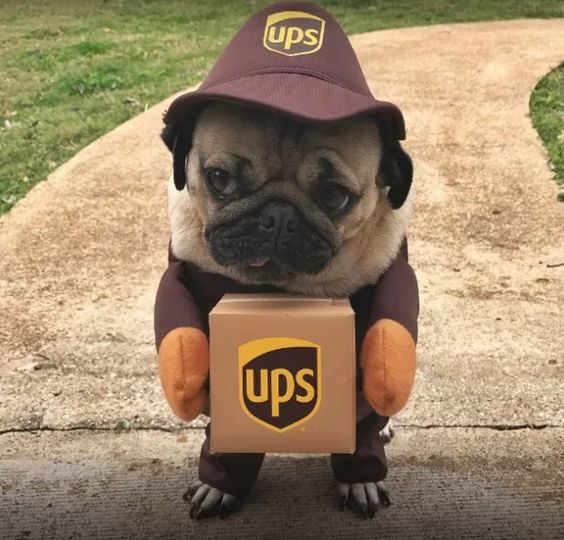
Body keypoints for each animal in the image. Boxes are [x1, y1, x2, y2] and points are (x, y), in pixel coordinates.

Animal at [155, 100, 418, 520]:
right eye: (219, 179)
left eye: (335, 196)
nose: (278, 216)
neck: (281, 293)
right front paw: (220, 483)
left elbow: (366, 414)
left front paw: (360, 478)